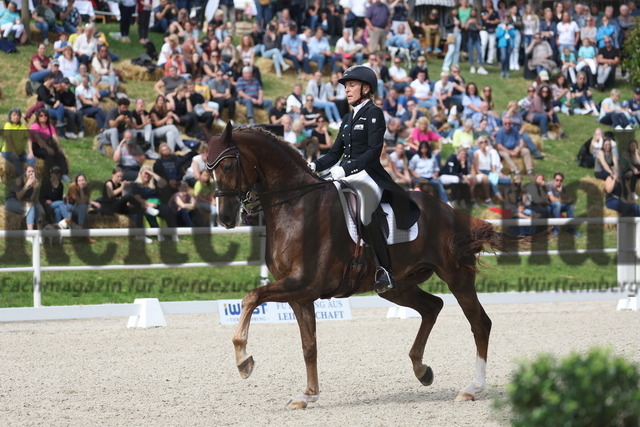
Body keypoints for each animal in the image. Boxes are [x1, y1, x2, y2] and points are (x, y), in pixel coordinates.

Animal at [208, 123, 524, 408]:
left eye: (228, 166)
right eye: (209, 169)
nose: (226, 218)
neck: (295, 205)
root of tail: (453, 212)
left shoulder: (302, 283)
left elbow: (251, 297)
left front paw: (243, 360)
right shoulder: (300, 294)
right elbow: (309, 345)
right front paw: (308, 395)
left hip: (456, 276)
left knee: (479, 323)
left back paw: (472, 388)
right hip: (396, 286)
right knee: (432, 307)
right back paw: (421, 370)